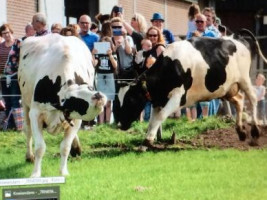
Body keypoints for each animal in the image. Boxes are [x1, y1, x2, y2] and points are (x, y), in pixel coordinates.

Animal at [18, 34, 108, 177]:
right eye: (76, 101)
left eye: (89, 87)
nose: (98, 95)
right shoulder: (35, 113)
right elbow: (40, 147)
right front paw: (36, 174)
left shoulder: (76, 119)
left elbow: (65, 147)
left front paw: (63, 172)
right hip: (25, 103)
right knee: (28, 131)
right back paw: (29, 156)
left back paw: (76, 148)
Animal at [116, 28, 266, 148]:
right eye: (118, 99)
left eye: (130, 100)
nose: (120, 125)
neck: (171, 66)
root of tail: (236, 37)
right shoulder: (159, 100)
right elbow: (153, 120)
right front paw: (149, 140)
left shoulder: (178, 98)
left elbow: (161, 116)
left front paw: (147, 142)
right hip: (228, 88)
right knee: (239, 101)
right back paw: (241, 132)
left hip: (244, 79)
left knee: (252, 98)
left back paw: (255, 131)